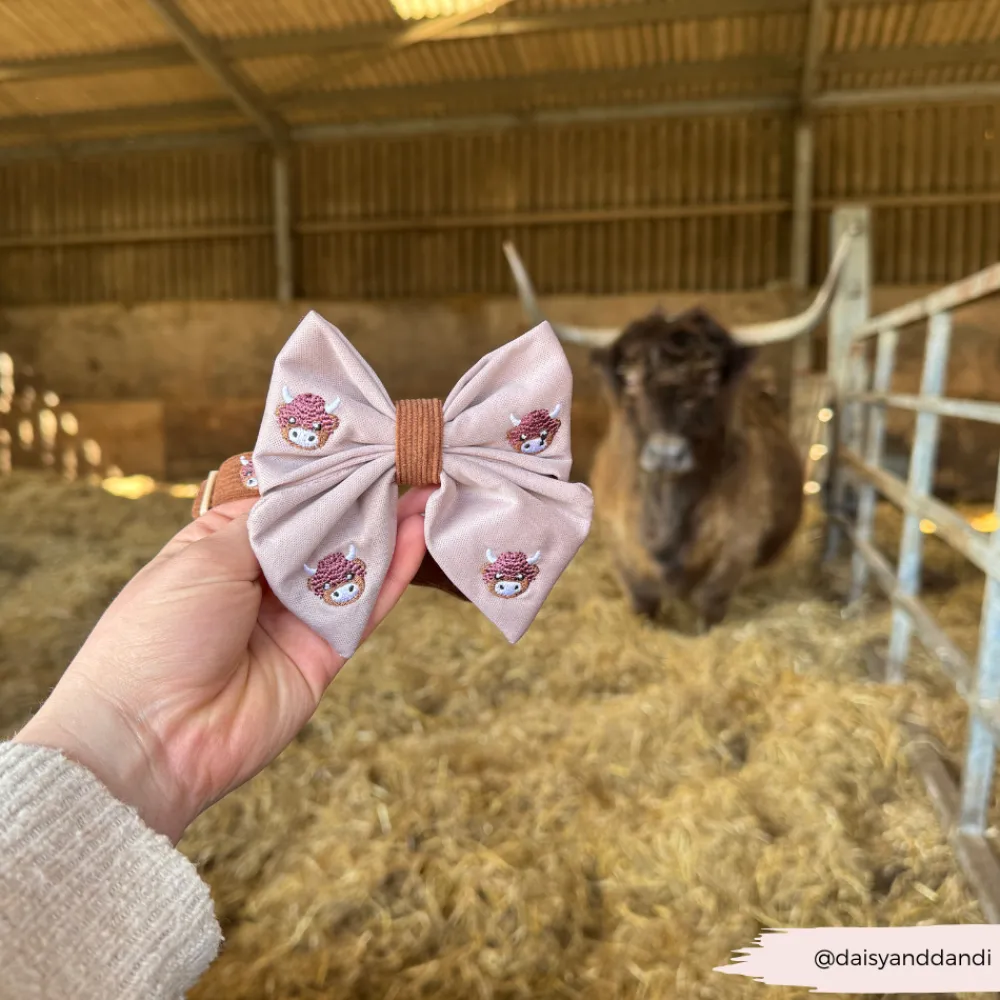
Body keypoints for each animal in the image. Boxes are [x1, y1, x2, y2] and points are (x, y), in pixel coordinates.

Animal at [501, 234, 854, 631]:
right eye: (631, 378)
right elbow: (644, 603)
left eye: (711, 376)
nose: (666, 454)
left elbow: (709, 604)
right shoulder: (623, 552)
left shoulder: (736, 551)